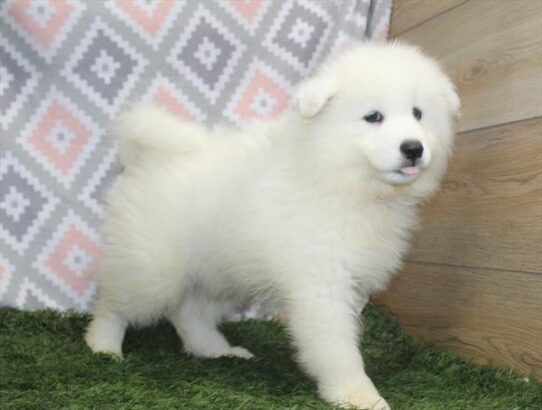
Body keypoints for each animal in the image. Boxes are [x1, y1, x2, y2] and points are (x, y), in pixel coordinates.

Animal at [87, 43, 462, 408]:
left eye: (418, 114)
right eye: (373, 117)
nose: (413, 148)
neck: (341, 181)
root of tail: (151, 157)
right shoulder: (321, 283)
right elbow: (337, 347)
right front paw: (358, 394)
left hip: (220, 272)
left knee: (189, 313)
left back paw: (217, 351)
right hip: (152, 269)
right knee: (114, 304)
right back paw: (102, 346)